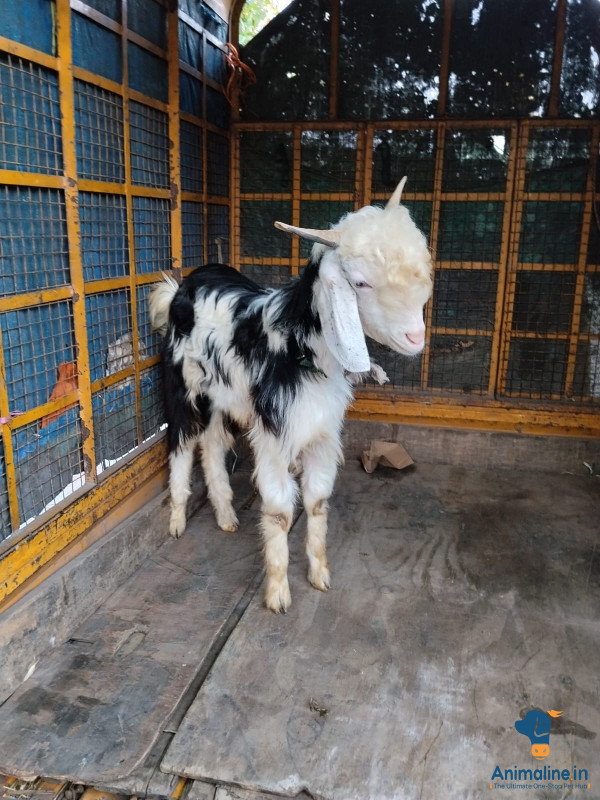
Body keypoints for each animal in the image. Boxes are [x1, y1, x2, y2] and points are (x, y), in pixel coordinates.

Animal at [149, 178, 433, 613]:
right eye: (360, 282)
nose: (416, 338)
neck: (299, 345)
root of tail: (182, 287)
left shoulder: (321, 434)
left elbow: (316, 503)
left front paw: (319, 574)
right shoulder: (274, 435)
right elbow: (281, 512)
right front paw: (279, 593)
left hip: (223, 398)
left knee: (212, 446)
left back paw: (226, 515)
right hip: (183, 388)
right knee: (181, 444)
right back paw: (178, 519)